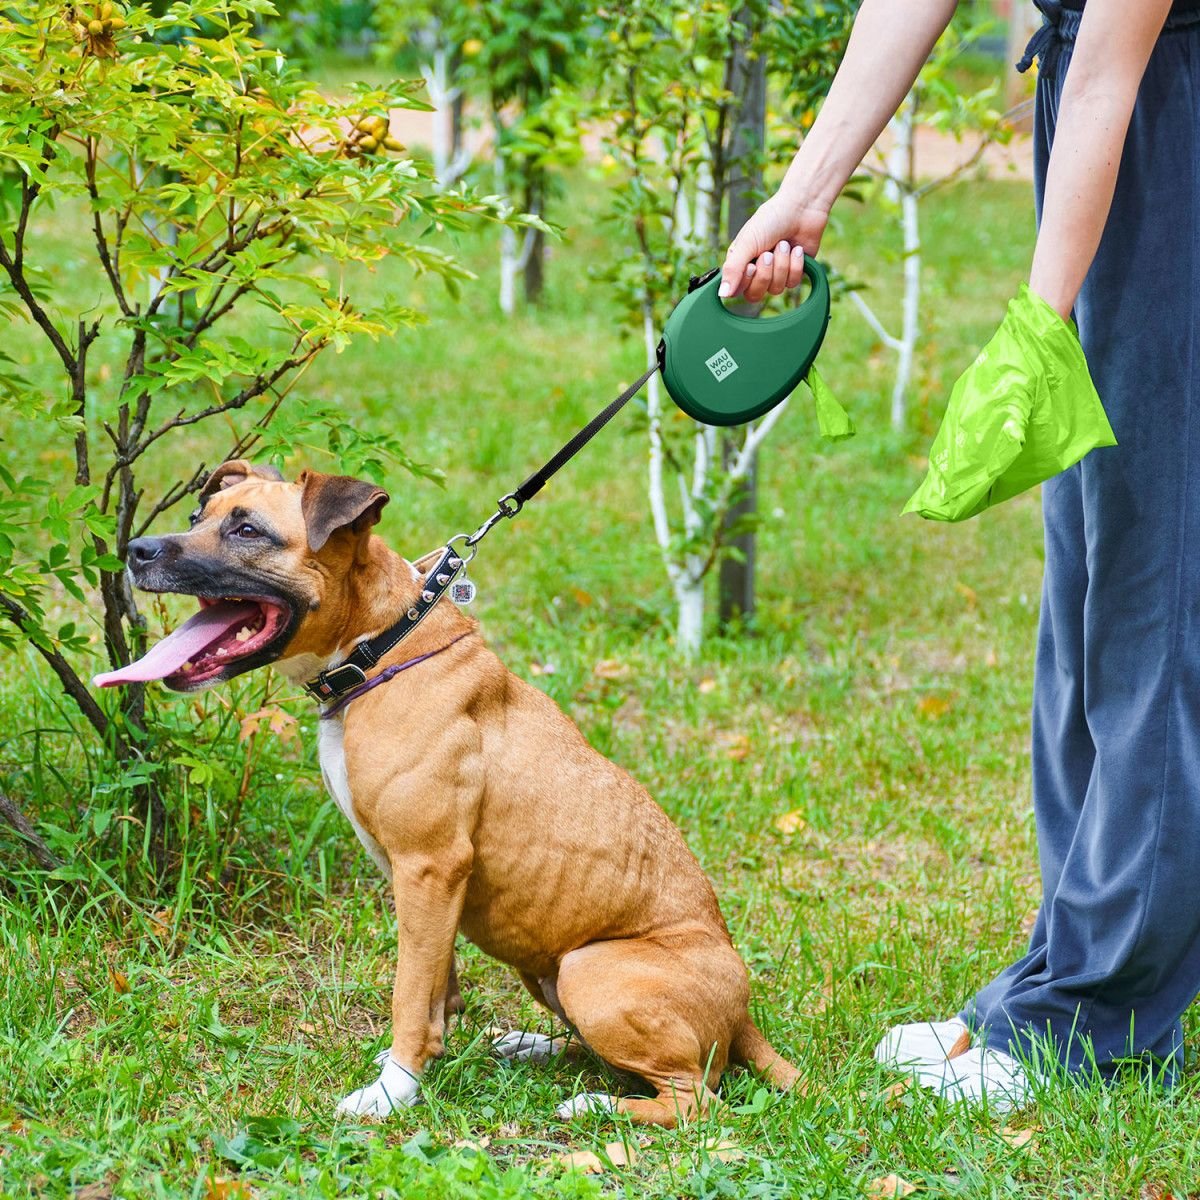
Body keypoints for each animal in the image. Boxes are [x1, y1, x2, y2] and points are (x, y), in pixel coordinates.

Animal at [98, 460, 796, 1123]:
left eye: (247, 530)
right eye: (199, 515)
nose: (135, 550)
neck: (379, 650)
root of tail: (743, 1015)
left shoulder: (429, 866)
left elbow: (410, 994)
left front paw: (391, 1092)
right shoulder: (423, 879)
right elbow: (434, 984)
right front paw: (419, 1067)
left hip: (592, 971)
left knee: (695, 1100)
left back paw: (594, 1107)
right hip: (547, 969)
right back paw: (532, 1047)